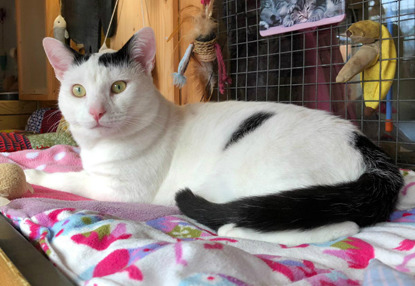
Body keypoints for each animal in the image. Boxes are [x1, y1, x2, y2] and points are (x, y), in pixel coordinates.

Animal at [24, 27, 404, 246]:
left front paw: (29, 174)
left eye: (118, 87)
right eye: (77, 91)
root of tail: (372, 156)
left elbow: (68, 178)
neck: (100, 148)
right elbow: (70, 165)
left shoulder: (119, 190)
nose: (96, 112)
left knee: (340, 223)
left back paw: (233, 231)